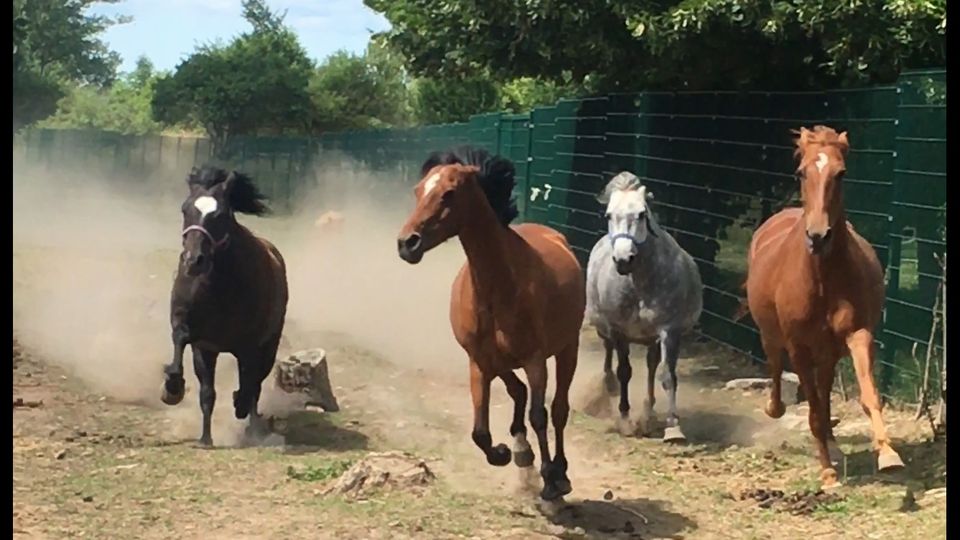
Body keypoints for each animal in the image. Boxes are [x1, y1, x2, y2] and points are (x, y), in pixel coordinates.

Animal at [160, 168, 288, 448]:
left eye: (219, 214)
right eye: (185, 209)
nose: (193, 261)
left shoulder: (249, 345)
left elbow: (249, 384)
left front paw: (239, 405)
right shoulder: (202, 343)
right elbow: (203, 387)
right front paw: (173, 391)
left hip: (268, 345)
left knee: (256, 385)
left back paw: (252, 425)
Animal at [392, 146, 584, 500]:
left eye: (449, 193)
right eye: (418, 190)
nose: (407, 243)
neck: (499, 287)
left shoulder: (535, 360)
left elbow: (540, 415)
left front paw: (551, 480)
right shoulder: (478, 362)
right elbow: (480, 431)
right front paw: (504, 453)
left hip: (568, 348)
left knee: (558, 409)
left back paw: (559, 471)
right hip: (499, 361)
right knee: (518, 391)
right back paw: (522, 452)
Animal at [580, 171, 700, 440]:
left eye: (642, 214)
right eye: (609, 215)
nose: (623, 259)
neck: (640, 284)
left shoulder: (669, 331)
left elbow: (667, 375)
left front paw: (673, 426)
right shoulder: (619, 330)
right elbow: (624, 371)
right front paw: (625, 419)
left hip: (650, 338)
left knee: (651, 365)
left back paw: (649, 411)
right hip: (603, 327)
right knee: (608, 354)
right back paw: (609, 387)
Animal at [744, 127, 908, 490]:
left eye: (841, 173)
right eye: (802, 172)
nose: (818, 236)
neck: (821, 278)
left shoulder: (857, 334)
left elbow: (868, 394)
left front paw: (888, 454)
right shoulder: (799, 347)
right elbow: (814, 409)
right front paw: (828, 473)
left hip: (829, 349)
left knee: (823, 387)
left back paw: (833, 444)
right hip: (772, 335)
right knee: (776, 366)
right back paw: (777, 409)